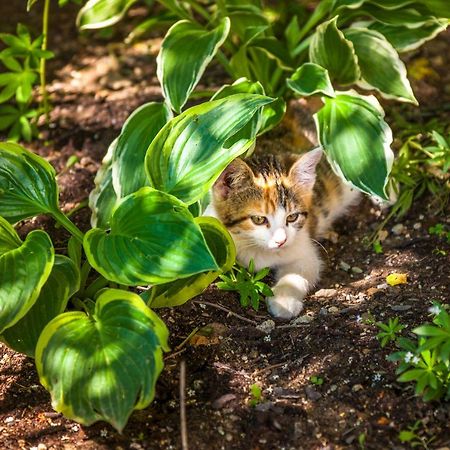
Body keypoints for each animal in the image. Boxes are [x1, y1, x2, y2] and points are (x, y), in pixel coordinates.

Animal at [207, 138, 358, 320]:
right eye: (258, 219)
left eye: (292, 217)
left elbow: (300, 271)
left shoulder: (304, 247)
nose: (281, 241)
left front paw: (284, 300)